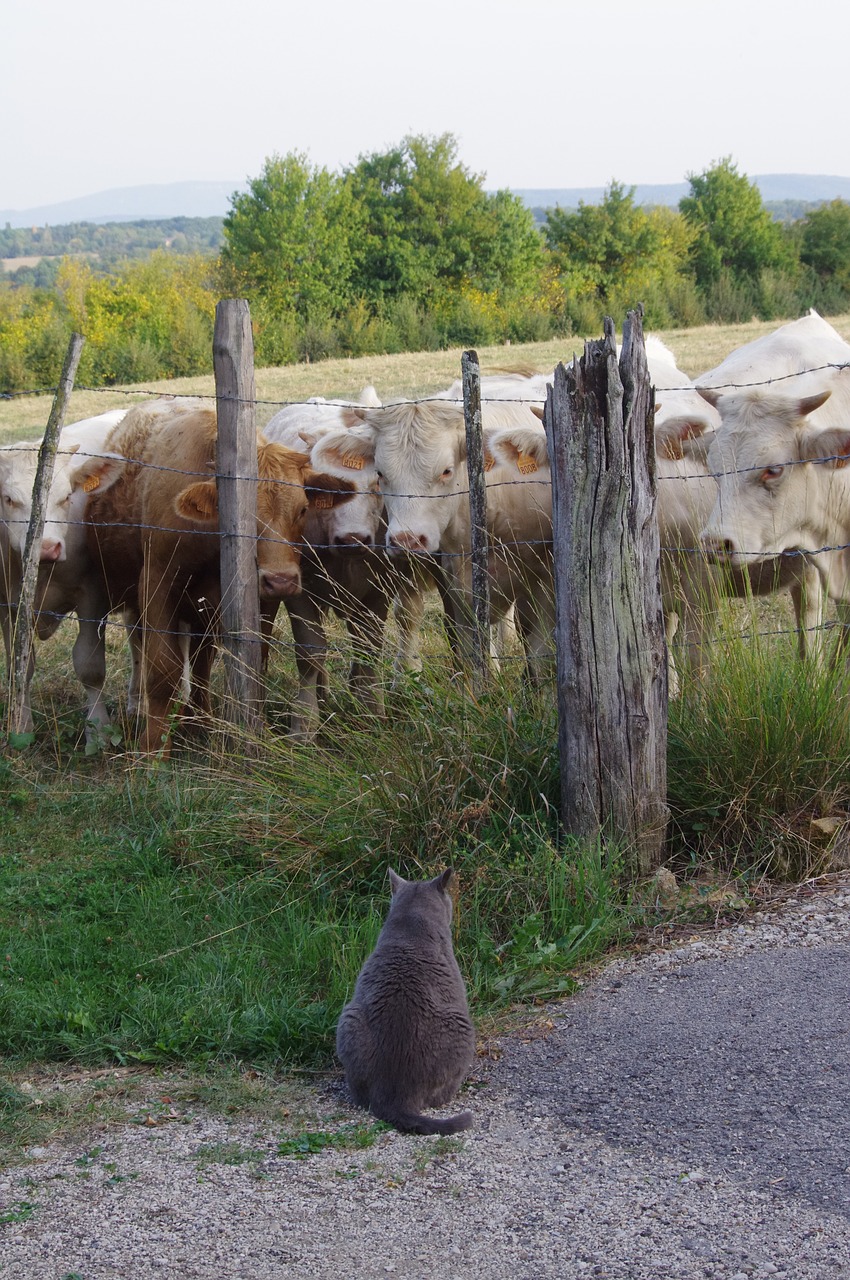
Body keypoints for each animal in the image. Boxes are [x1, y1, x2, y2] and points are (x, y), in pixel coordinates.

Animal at [86, 401, 350, 747]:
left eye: (303, 509)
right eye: (245, 517)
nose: (281, 580)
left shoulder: (259, 602)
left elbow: (252, 660)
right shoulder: (157, 581)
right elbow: (162, 669)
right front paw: (152, 747)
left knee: (201, 660)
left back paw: (200, 719)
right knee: (140, 644)